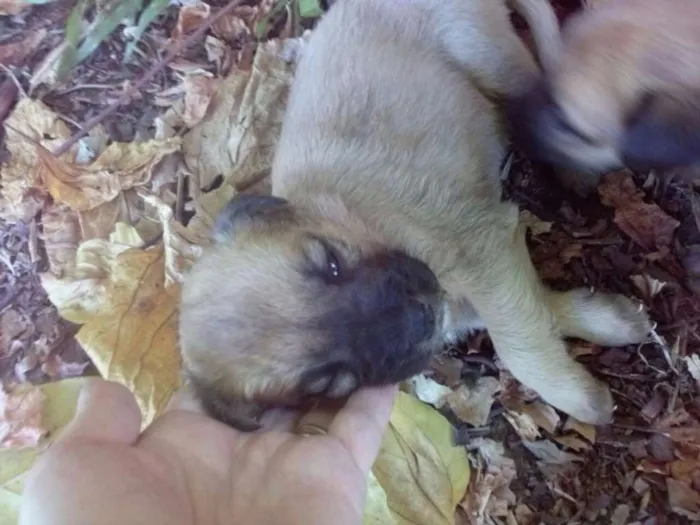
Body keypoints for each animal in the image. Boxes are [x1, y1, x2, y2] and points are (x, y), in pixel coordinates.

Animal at [178, 0, 652, 432]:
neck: (355, 218)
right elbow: (535, 311)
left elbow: (521, 347)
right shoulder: (491, 276)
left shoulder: (484, 248)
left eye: (331, 263)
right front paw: (608, 320)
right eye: (327, 380)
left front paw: (578, 393)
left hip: (490, 58)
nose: (421, 315)